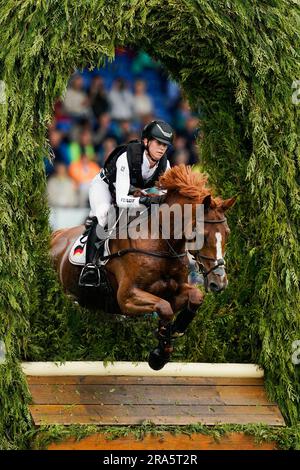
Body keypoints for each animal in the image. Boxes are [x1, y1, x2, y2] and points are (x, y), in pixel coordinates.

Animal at [50, 163, 236, 370]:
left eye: (227, 233)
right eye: (202, 234)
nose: (219, 282)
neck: (159, 241)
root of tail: (56, 236)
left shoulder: (174, 291)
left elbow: (195, 297)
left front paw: (174, 330)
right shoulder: (127, 298)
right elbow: (164, 308)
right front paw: (159, 355)